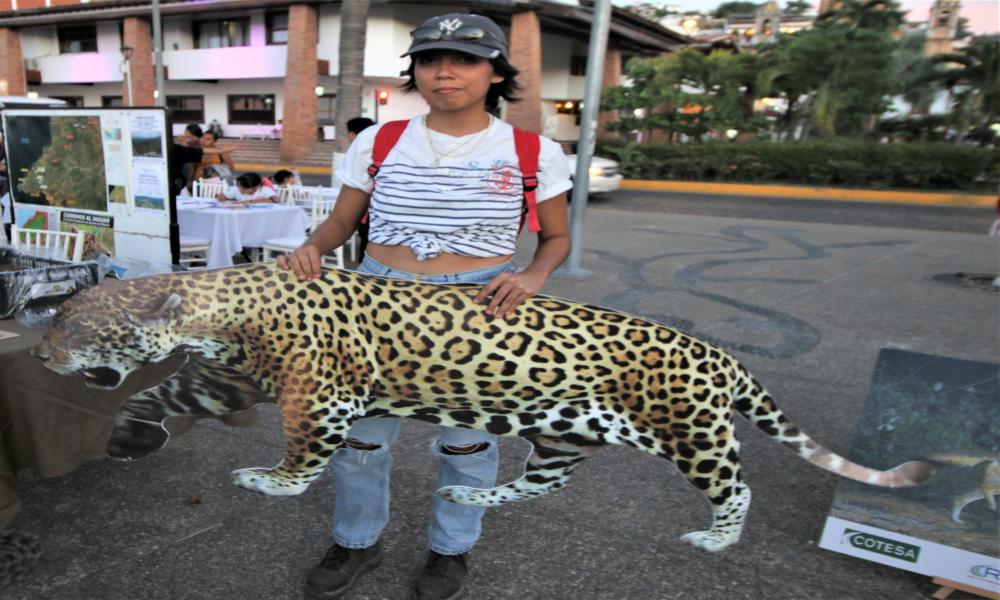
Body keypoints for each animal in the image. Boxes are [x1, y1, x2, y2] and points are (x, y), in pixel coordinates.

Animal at [33, 263, 933, 552]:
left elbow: (304, 455)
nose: (39, 356)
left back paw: (716, 539)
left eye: (78, 325)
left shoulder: (317, 398)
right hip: (565, 431)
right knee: (546, 482)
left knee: (738, 483)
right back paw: (473, 498)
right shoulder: (229, 379)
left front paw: (272, 483)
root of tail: (722, 356)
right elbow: (162, 388)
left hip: (693, 433)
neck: (219, 306)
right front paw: (130, 432)